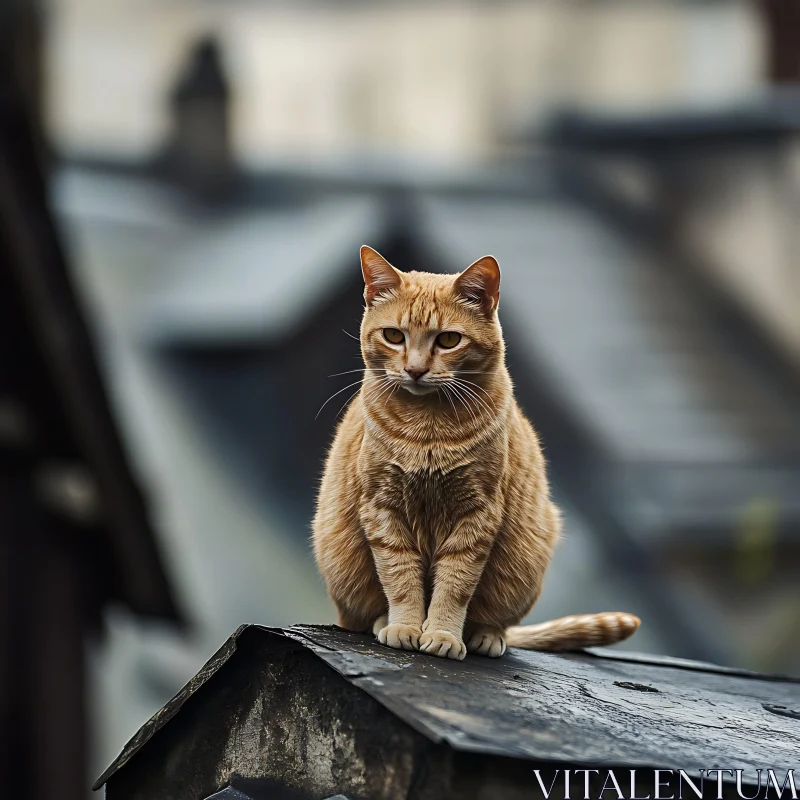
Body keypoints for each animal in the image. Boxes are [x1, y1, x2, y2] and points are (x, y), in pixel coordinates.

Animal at [310, 247, 636, 660]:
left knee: (495, 620)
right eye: (394, 336)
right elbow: (399, 577)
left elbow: (455, 585)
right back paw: (384, 622)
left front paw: (443, 634)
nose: (415, 370)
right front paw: (405, 626)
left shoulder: (477, 514)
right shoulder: (383, 508)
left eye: (449, 340)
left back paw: (485, 637)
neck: (427, 429)